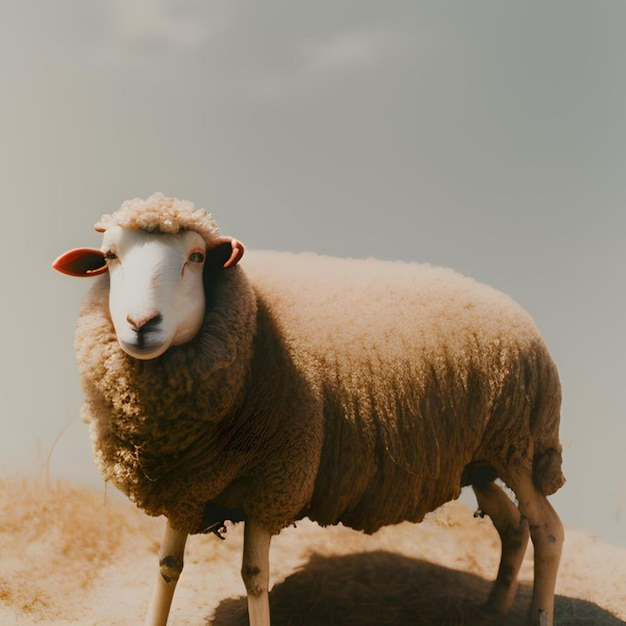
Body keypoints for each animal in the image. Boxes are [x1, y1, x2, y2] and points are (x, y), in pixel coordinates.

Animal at [51, 193, 564, 620]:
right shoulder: (189, 485)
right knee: (512, 525)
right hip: (481, 459)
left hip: (517, 445)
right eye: (109, 257)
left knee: (548, 531)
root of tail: (521, 315)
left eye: (196, 258)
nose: (142, 323)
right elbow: (167, 566)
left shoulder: (277, 477)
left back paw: (536, 613)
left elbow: (254, 576)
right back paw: (493, 607)